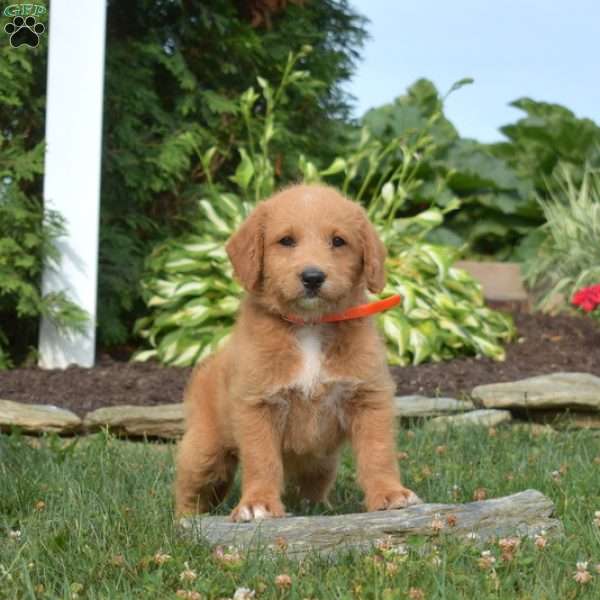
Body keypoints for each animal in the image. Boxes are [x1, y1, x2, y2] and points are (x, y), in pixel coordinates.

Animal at [175, 183, 422, 520]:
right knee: (189, 488)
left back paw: (319, 506)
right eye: (286, 241)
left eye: (338, 241)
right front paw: (258, 504)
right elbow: (262, 460)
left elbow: (378, 451)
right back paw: (185, 519)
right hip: (205, 450)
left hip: (321, 460)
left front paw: (389, 493)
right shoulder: (257, 406)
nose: (313, 277)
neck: (310, 328)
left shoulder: (369, 398)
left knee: (312, 485)